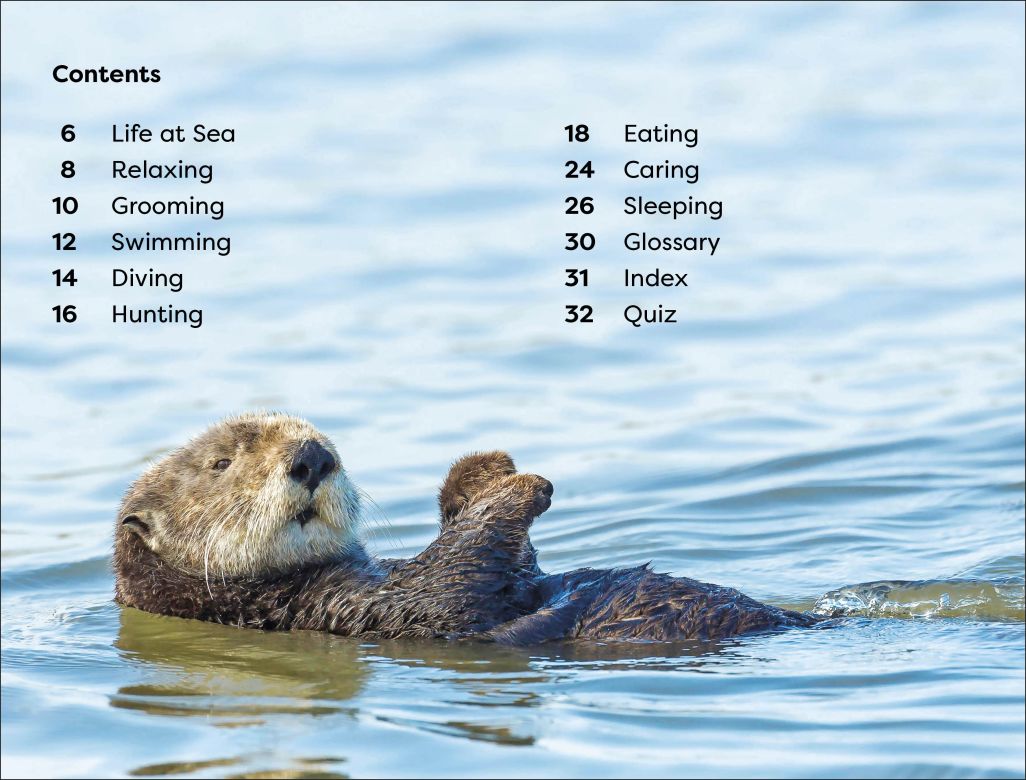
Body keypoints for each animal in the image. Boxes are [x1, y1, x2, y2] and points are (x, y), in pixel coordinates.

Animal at [114, 413, 818, 643]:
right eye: (222, 463)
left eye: (324, 437)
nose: (313, 456)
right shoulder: (356, 611)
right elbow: (455, 576)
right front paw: (521, 485)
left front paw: (484, 468)